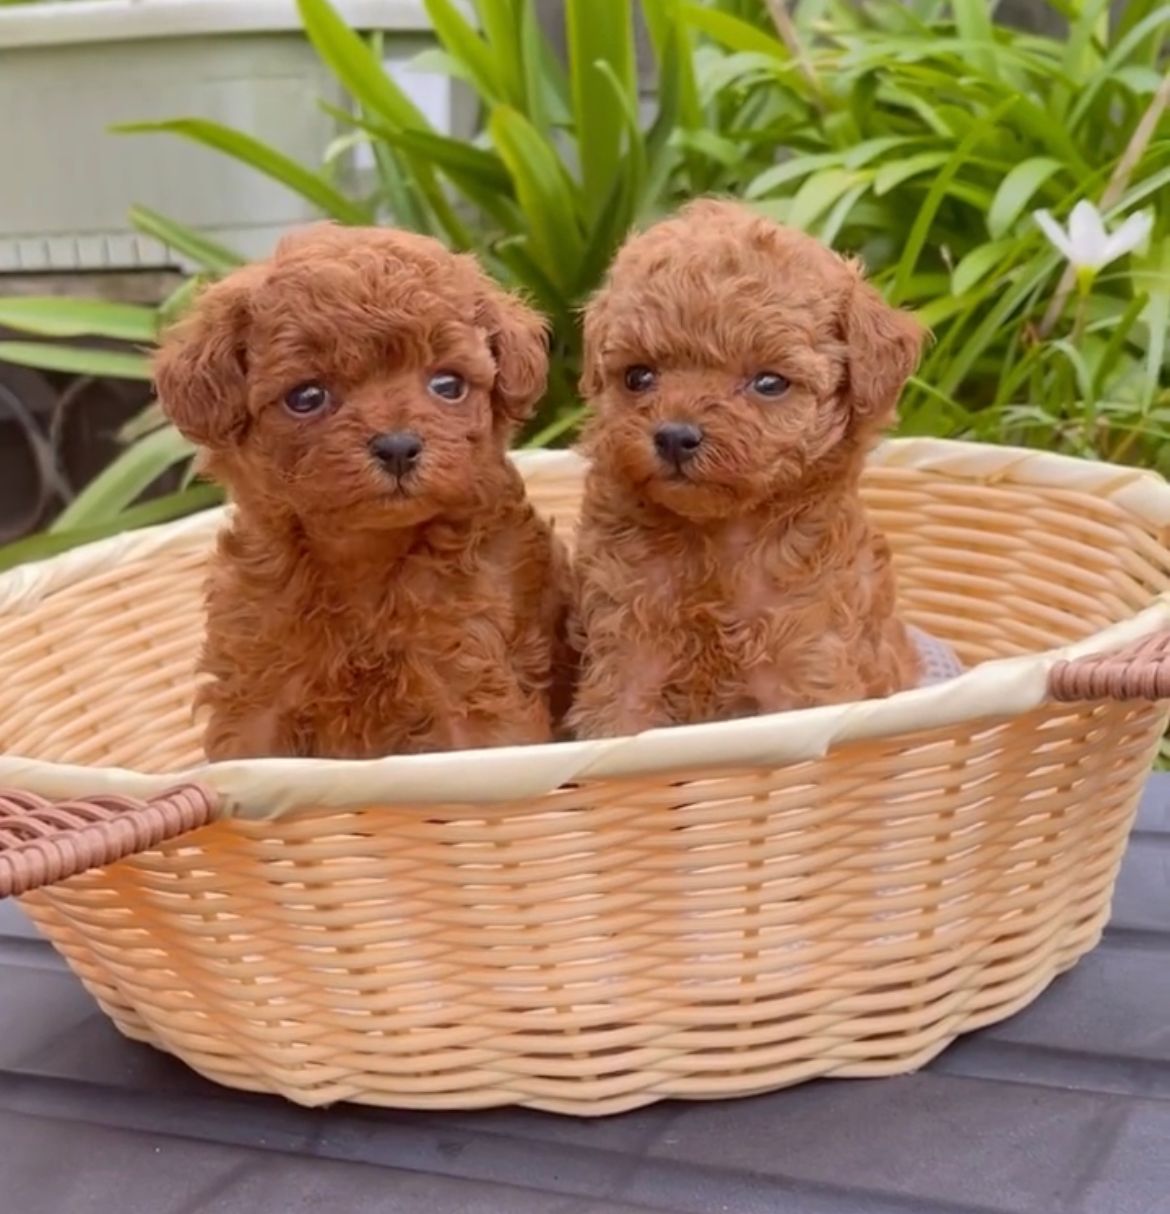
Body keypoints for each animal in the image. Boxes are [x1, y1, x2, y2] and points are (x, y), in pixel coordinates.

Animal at [157, 224, 572, 757]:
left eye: (448, 384)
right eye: (306, 397)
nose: (397, 446)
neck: (364, 558)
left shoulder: (472, 686)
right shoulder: (255, 693)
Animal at [570, 199, 927, 738]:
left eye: (769, 383)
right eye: (638, 376)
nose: (675, 435)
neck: (716, 541)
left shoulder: (804, 662)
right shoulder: (628, 656)